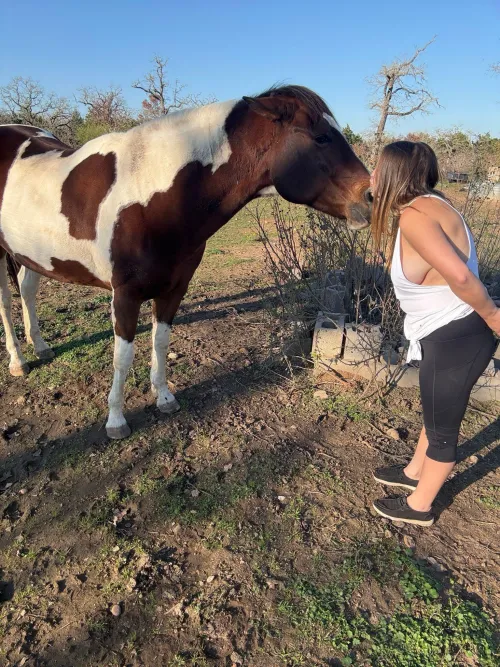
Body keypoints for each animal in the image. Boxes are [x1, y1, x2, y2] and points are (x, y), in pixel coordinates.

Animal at [0, 85, 372, 439]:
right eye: (320, 137)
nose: (370, 196)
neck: (150, 196)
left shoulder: (174, 289)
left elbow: (161, 342)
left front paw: (164, 397)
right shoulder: (125, 295)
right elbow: (123, 357)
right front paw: (116, 420)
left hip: (33, 254)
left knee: (27, 289)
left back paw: (41, 347)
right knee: (6, 304)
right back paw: (18, 361)